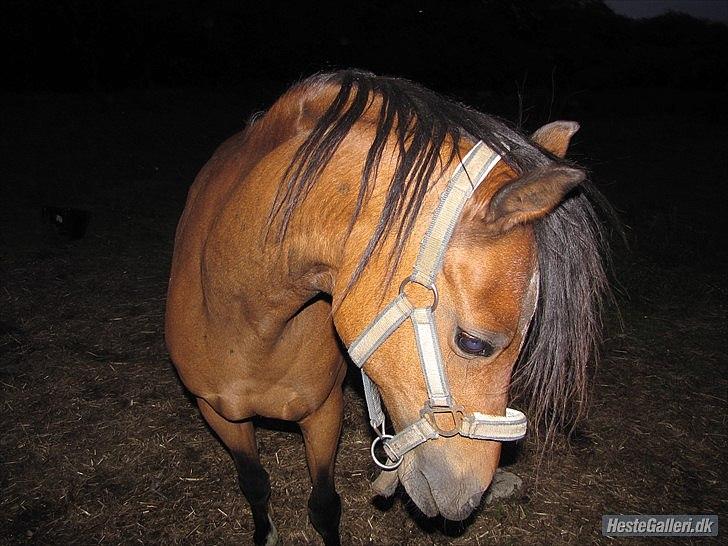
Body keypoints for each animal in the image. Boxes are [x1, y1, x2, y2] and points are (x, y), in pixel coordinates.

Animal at [165, 70, 608, 540]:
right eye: (474, 344)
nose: (469, 495)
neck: (247, 322)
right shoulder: (217, 413)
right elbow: (254, 482)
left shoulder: (324, 412)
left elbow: (324, 505)